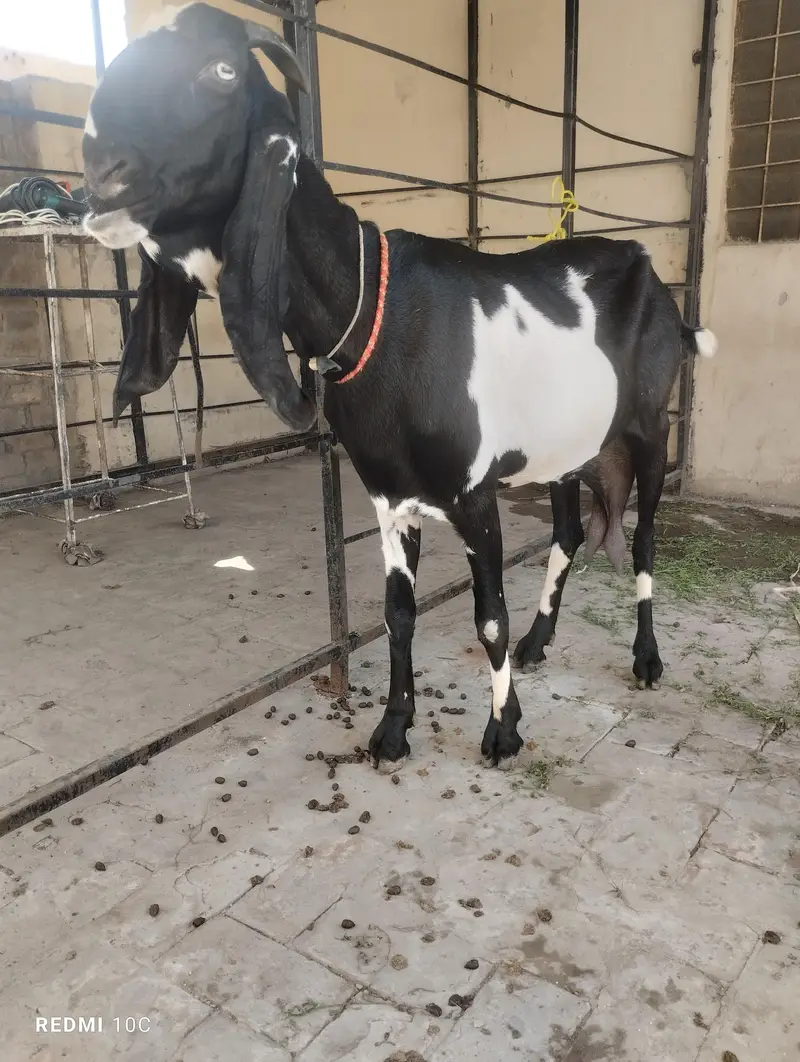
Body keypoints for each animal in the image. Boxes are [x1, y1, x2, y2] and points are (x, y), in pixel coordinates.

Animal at [81, 3, 717, 770]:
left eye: (222, 71)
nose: (100, 171)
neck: (371, 315)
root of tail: (654, 276)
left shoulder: (473, 495)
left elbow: (489, 617)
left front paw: (503, 730)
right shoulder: (390, 497)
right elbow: (397, 613)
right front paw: (392, 727)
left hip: (651, 426)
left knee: (647, 537)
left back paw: (646, 659)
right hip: (566, 448)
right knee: (568, 533)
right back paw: (542, 642)